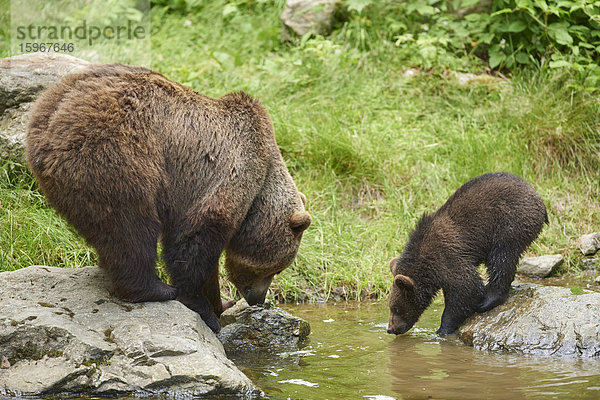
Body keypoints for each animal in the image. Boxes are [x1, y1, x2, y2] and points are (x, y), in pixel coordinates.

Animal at [26, 63, 312, 332]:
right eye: (277, 268)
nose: (258, 299)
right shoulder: (226, 175)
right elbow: (192, 245)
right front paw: (205, 311)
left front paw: (221, 304)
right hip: (117, 154)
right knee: (131, 227)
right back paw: (155, 289)